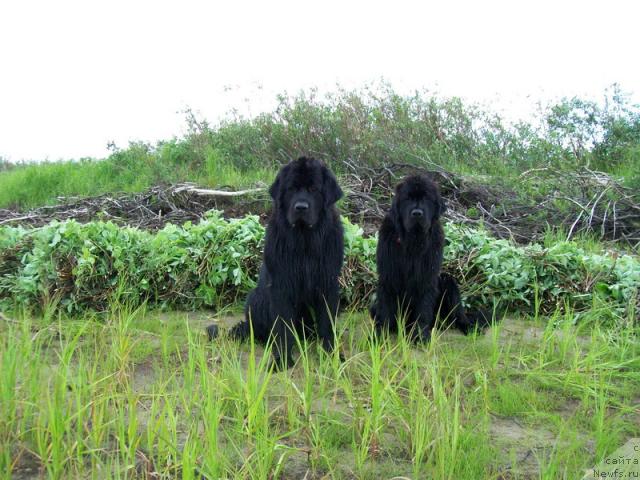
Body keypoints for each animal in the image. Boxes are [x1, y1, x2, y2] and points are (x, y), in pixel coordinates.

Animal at [210, 158, 342, 368]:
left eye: (314, 188)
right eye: (291, 189)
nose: (301, 207)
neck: (304, 240)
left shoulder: (327, 283)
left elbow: (327, 323)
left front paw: (331, 355)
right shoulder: (281, 286)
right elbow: (284, 326)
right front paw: (283, 360)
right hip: (256, 298)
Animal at [368, 175, 488, 342]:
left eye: (426, 199)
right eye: (407, 198)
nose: (417, 213)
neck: (413, 241)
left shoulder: (427, 277)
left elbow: (423, 309)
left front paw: (420, 336)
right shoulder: (388, 275)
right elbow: (385, 308)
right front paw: (379, 336)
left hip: (447, 282)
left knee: (459, 314)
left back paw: (468, 327)